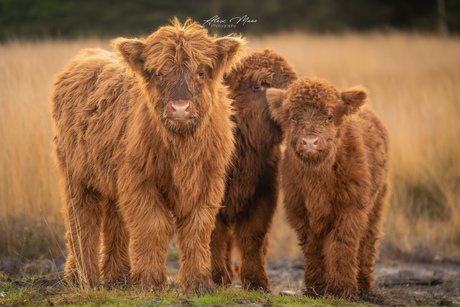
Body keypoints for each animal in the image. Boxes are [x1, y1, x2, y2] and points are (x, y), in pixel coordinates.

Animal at [266, 77, 388, 300]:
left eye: (329, 116)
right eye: (293, 117)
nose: (310, 142)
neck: (318, 181)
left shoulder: (352, 208)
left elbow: (341, 245)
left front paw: (343, 289)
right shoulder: (301, 211)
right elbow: (313, 247)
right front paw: (316, 288)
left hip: (377, 202)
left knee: (368, 240)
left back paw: (364, 285)